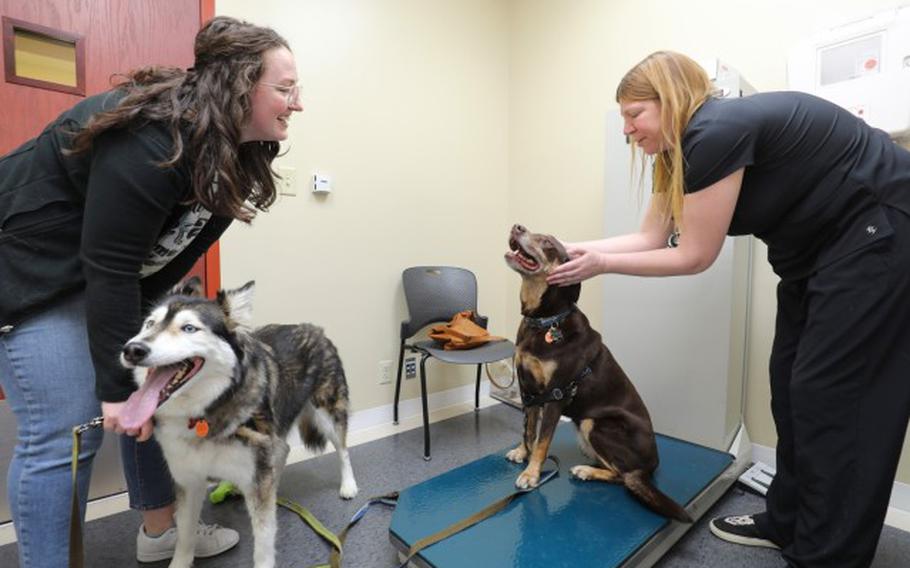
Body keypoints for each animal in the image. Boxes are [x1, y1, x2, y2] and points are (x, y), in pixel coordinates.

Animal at [115, 280, 356, 568]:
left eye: (189, 328)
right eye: (150, 323)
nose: (132, 349)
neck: (203, 414)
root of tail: (314, 328)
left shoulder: (257, 478)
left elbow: (263, 545)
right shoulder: (188, 479)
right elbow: (185, 536)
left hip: (327, 412)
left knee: (342, 449)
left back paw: (348, 485)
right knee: (283, 450)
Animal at [506, 224, 692, 520]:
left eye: (547, 242)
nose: (517, 226)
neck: (544, 321)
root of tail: (651, 465)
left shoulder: (556, 395)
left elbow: (543, 441)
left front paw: (531, 474)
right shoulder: (529, 391)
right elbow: (529, 429)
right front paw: (522, 451)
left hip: (595, 424)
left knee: (624, 476)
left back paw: (588, 471)